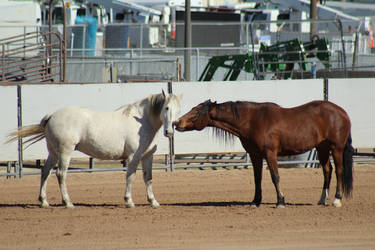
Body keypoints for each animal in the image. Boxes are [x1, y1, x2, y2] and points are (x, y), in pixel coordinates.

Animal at [6, 91, 181, 208]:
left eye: (178, 110)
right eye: (166, 108)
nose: (169, 132)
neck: (141, 122)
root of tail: (52, 116)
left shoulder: (147, 156)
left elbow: (148, 178)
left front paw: (153, 201)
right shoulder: (133, 157)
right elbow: (130, 177)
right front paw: (129, 201)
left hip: (53, 153)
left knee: (45, 172)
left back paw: (44, 201)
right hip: (65, 152)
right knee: (60, 174)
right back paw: (68, 202)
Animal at [175, 99, 354, 207]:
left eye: (197, 112)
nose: (176, 123)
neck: (252, 121)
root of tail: (342, 112)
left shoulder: (270, 154)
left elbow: (275, 176)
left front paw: (280, 201)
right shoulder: (255, 156)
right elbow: (257, 178)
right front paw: (255, 201)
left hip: (336, 148)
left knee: (338, 171)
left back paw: (337, 200)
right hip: (321, 148)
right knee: (327, 171)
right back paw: (322, 200)